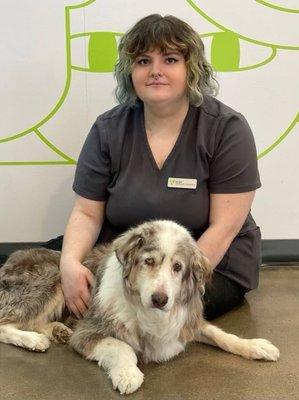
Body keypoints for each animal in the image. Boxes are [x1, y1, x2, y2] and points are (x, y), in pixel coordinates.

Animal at [0, 220, 282, 396]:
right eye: (148, 261)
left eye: (178, 267)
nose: (160, 299)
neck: (149, 313)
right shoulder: (88, 331)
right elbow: (121, 346)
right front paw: (127, 374)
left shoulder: (185, 323)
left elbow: (222, 335)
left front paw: (255, 346)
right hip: (51, 281)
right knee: (6, 323)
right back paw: (33, 340)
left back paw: (57, 331)